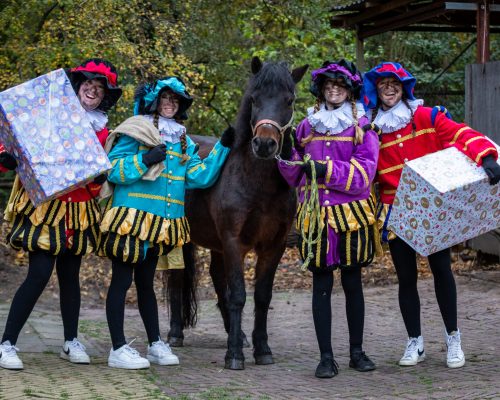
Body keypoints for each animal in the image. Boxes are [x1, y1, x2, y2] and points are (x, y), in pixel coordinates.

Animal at [168, 56, 308, 368]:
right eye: (254, 99)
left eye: (289, 100)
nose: (265, 144)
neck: (258, 185)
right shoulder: (234, 243)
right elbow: (238, 296)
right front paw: (234, 355)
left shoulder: (273, 246)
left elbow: (261, 296)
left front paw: (261, 349)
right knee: (177, 278)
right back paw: (175, 334)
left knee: (217, 278)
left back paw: (238, 334)